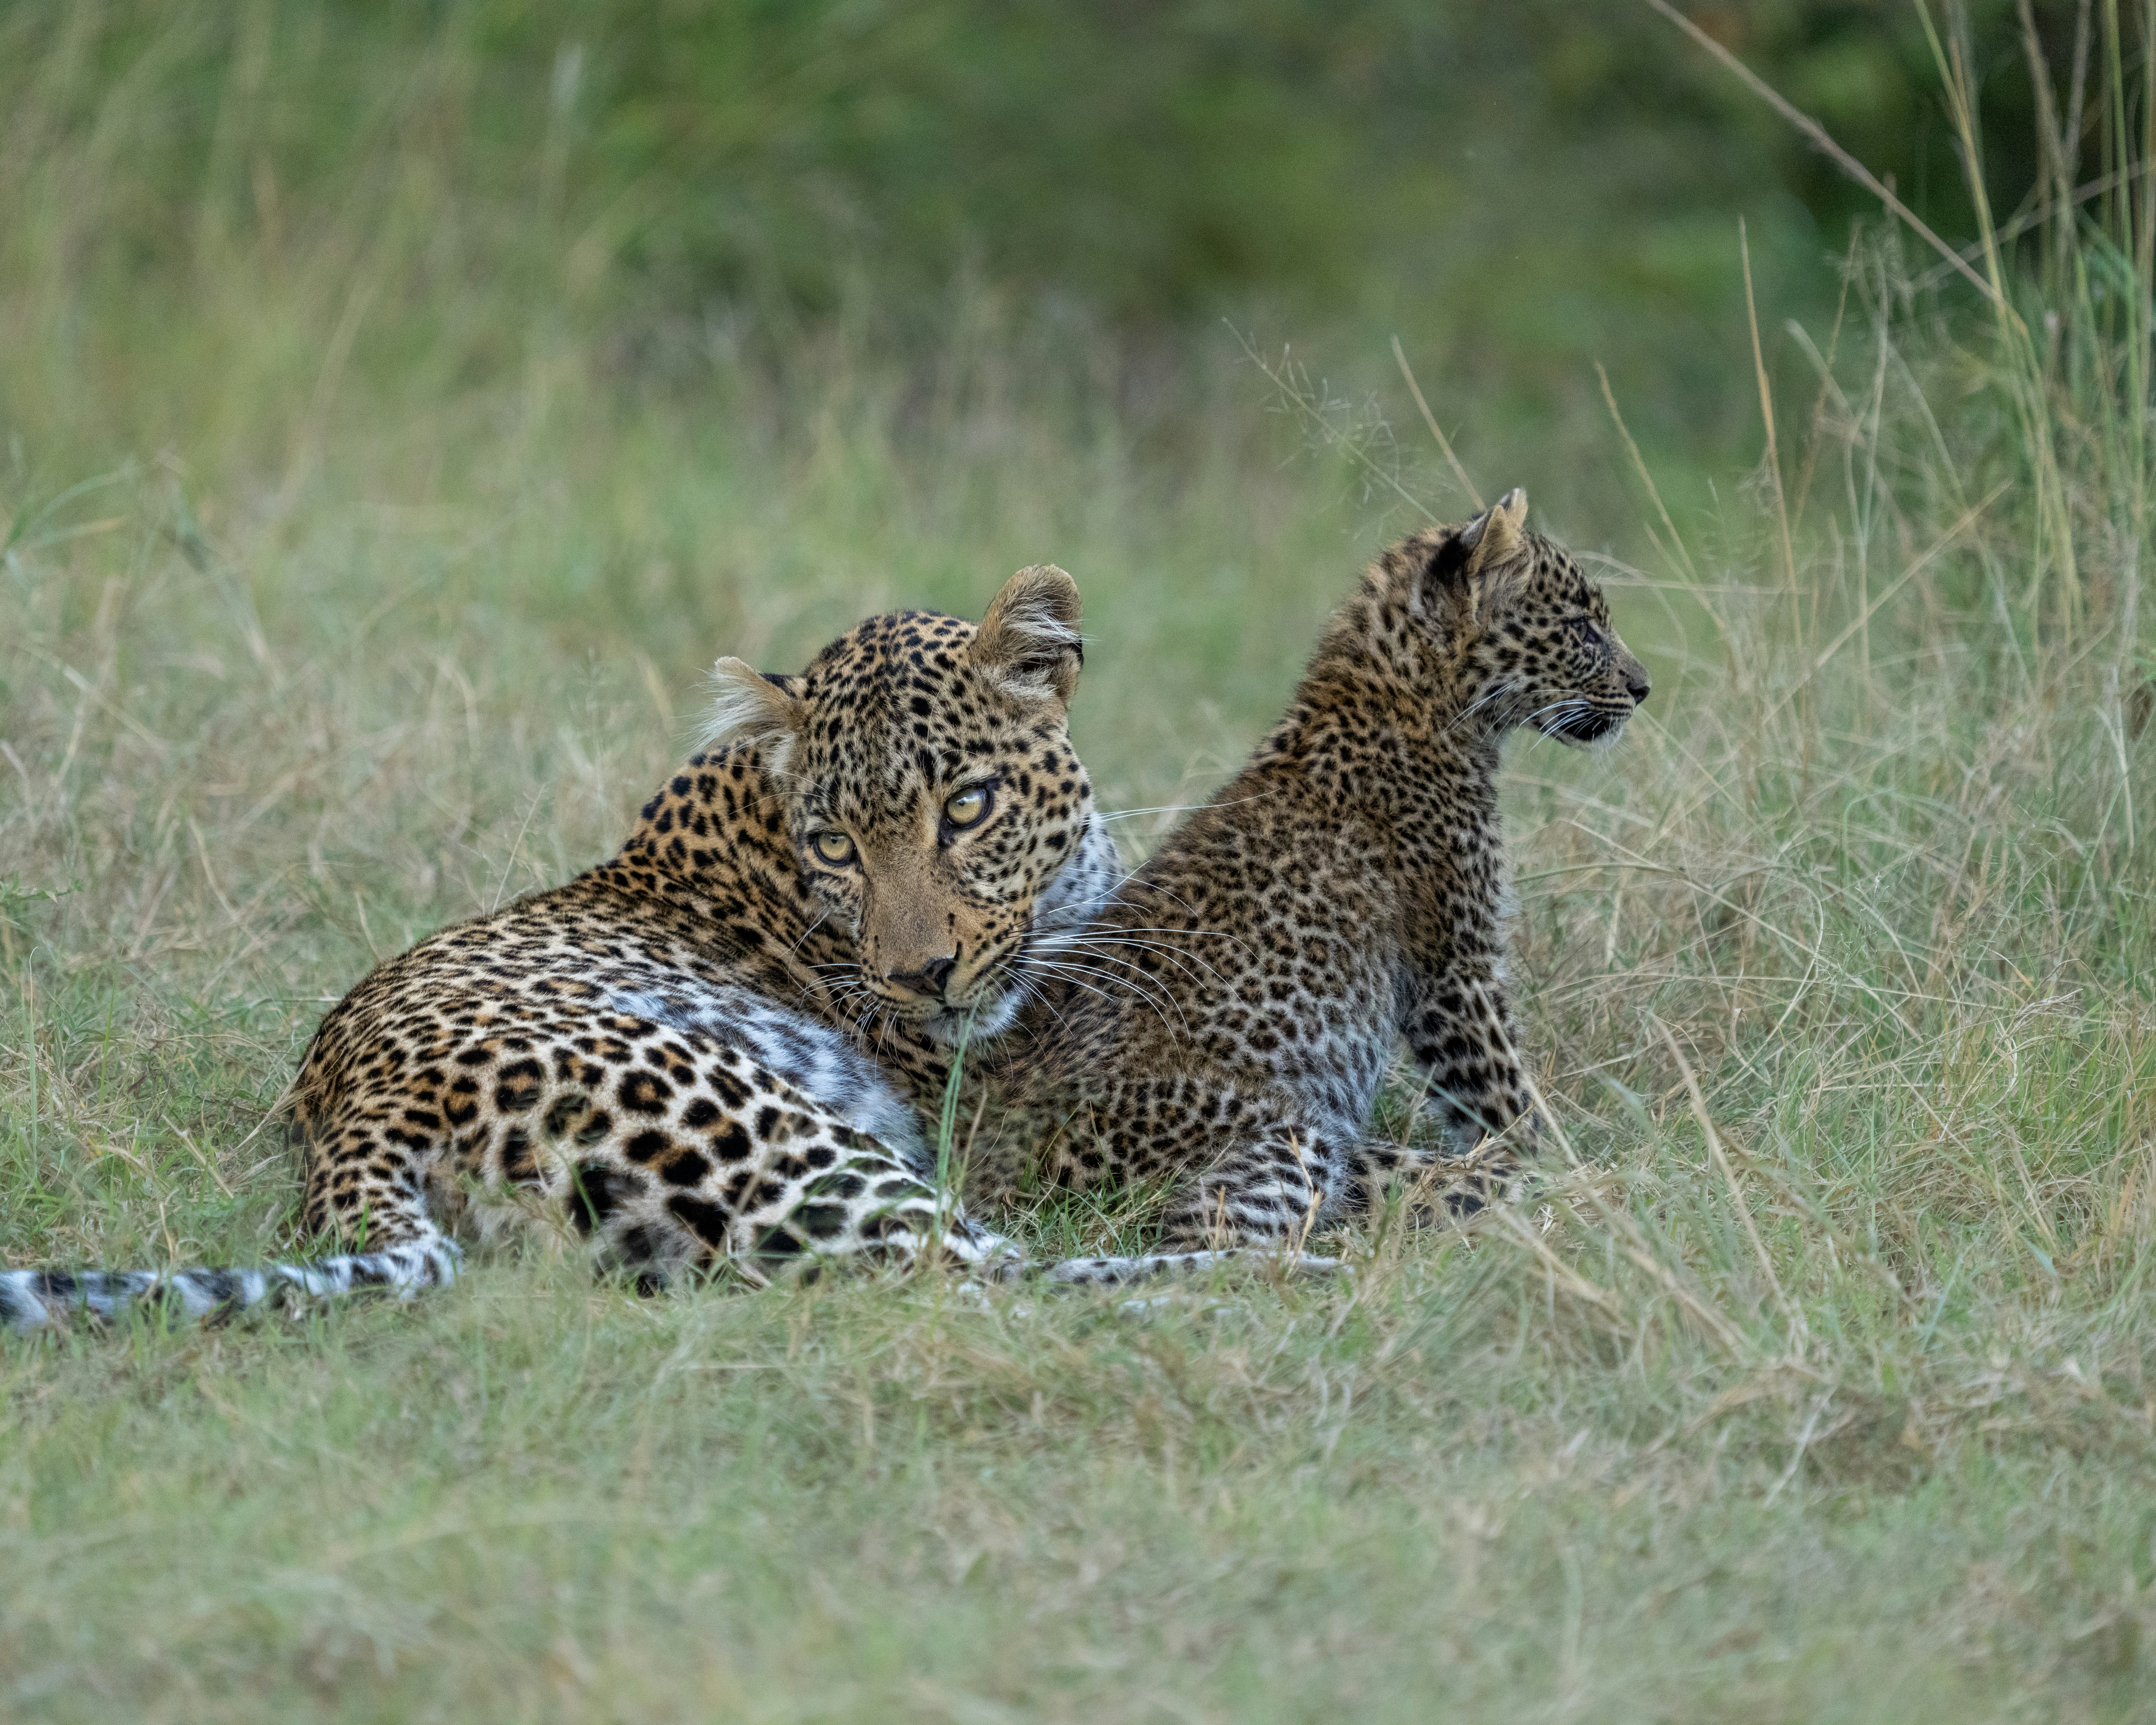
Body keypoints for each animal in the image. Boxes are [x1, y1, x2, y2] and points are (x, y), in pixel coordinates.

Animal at [3, 565, 1188, 1332]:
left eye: (969, 806)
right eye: (837, 845)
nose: (919, 978)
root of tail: (349, 1115)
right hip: (768, 1128)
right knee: (994, 1280)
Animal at [964, 489, 1651, 1271]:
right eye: (1582, 627)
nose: (1643, 688)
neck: (1416, 704)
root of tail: (999, 1157)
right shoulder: (1456, 968)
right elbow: (1510, 1101)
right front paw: (1559, 1153)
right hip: (1289, 1134)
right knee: (1207, 1235)